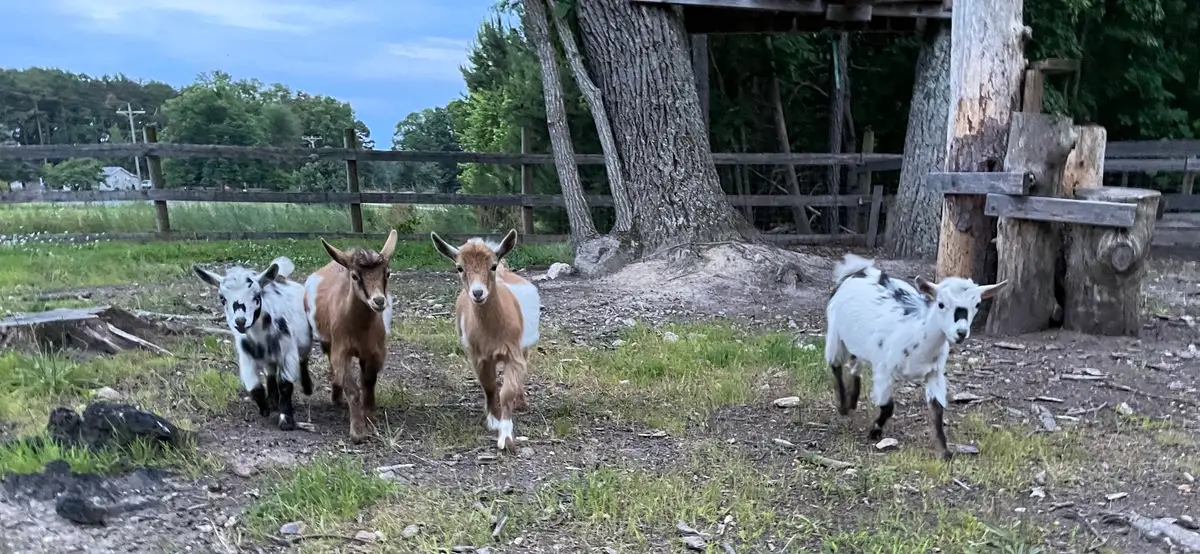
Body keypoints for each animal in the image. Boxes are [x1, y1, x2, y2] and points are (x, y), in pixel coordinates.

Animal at [193, 256, 314, 430]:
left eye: (257, 295)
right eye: (222, 298)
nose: (240, 321)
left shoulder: (288, 351)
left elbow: (285, 384)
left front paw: (286, 421)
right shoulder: (246, 356)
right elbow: (254, 387)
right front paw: (265, 409)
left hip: (304, 341)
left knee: (303, 360)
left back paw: (307, 387)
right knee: (270, 371)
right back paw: (272, 400)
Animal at [303, 230, 398, 443]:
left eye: (387, 273)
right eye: (355, 276)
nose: (378, 301)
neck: (360, 329)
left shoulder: (375, 352)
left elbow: (368, 383)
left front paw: (370, 418)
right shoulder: (341, 350)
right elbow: (353, 389)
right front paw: (358, 432)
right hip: (327, 341)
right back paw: (336, 396)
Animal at [430, 229, 540, 452]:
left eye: (492, 266)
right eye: (459, 268)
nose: (478, 293)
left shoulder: (513, 353)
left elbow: (506, 391)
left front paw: (506, 437)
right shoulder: (478, 357)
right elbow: (489, 387)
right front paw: (493, 420)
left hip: (524, 347)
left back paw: (521, 402)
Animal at [823, 253, 1008, 460]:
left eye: (977, 304)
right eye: (941, 304)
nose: (960, 332)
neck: (915, 332)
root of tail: (858, 271)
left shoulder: (935, 373)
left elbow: (937, 411)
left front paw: (944, 452)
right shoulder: (884, 370)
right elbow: (888, 406)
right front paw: (875, 431)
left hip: (859, 343)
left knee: (855, 366)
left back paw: (852, 401)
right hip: (835, 333)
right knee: (836, 365)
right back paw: (842, 406)